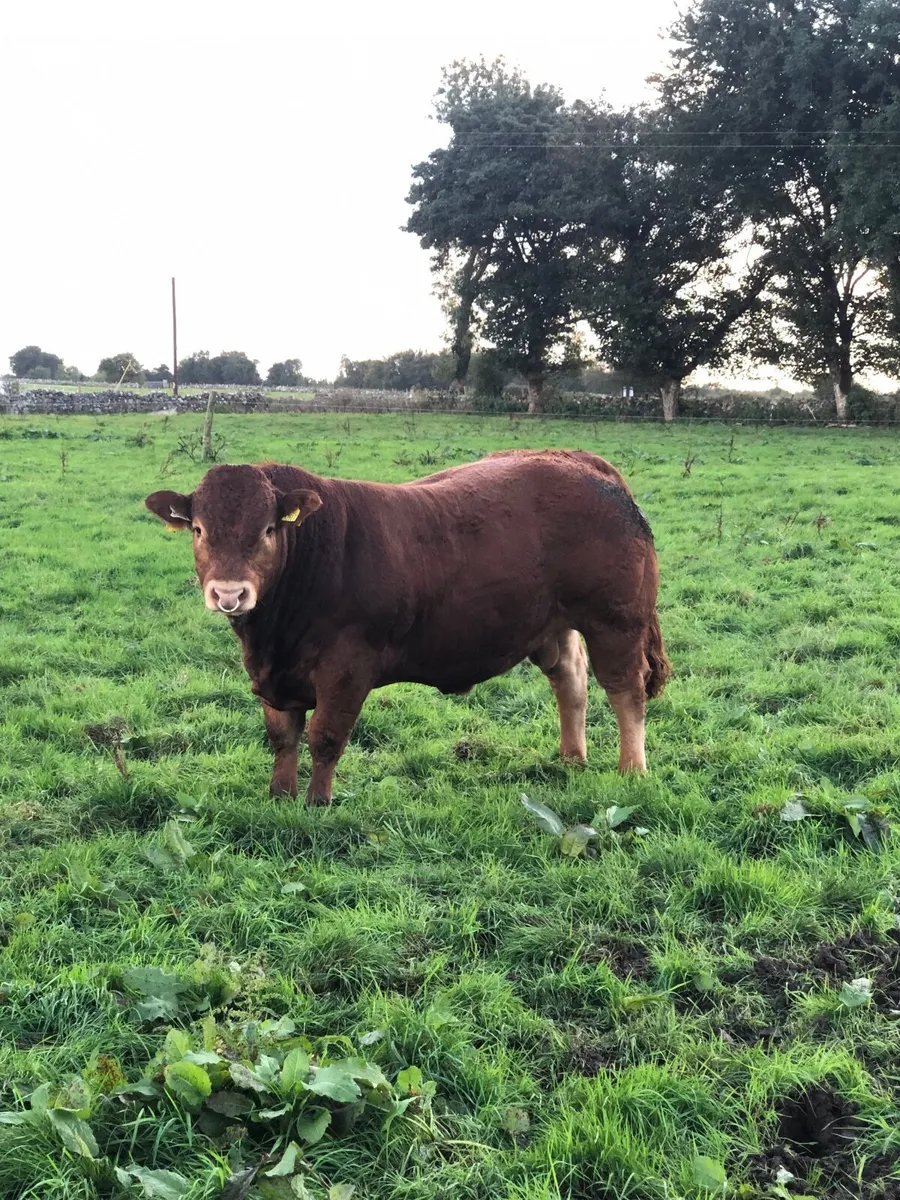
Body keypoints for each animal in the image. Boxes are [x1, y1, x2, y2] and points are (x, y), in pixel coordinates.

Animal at [145, 449, 669, 805]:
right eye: (199, 530)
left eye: (268, 530)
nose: (229, 594)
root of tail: (581, 461)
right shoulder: (273, 674)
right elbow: (283, 737)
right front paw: (281, 795)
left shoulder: (347, 667)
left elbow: (324, 736)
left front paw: (317, 802)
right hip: (553, 623)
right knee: (570, 680)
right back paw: (571, 757)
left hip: (616, 620)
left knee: (626, 690)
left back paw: (632, 769)